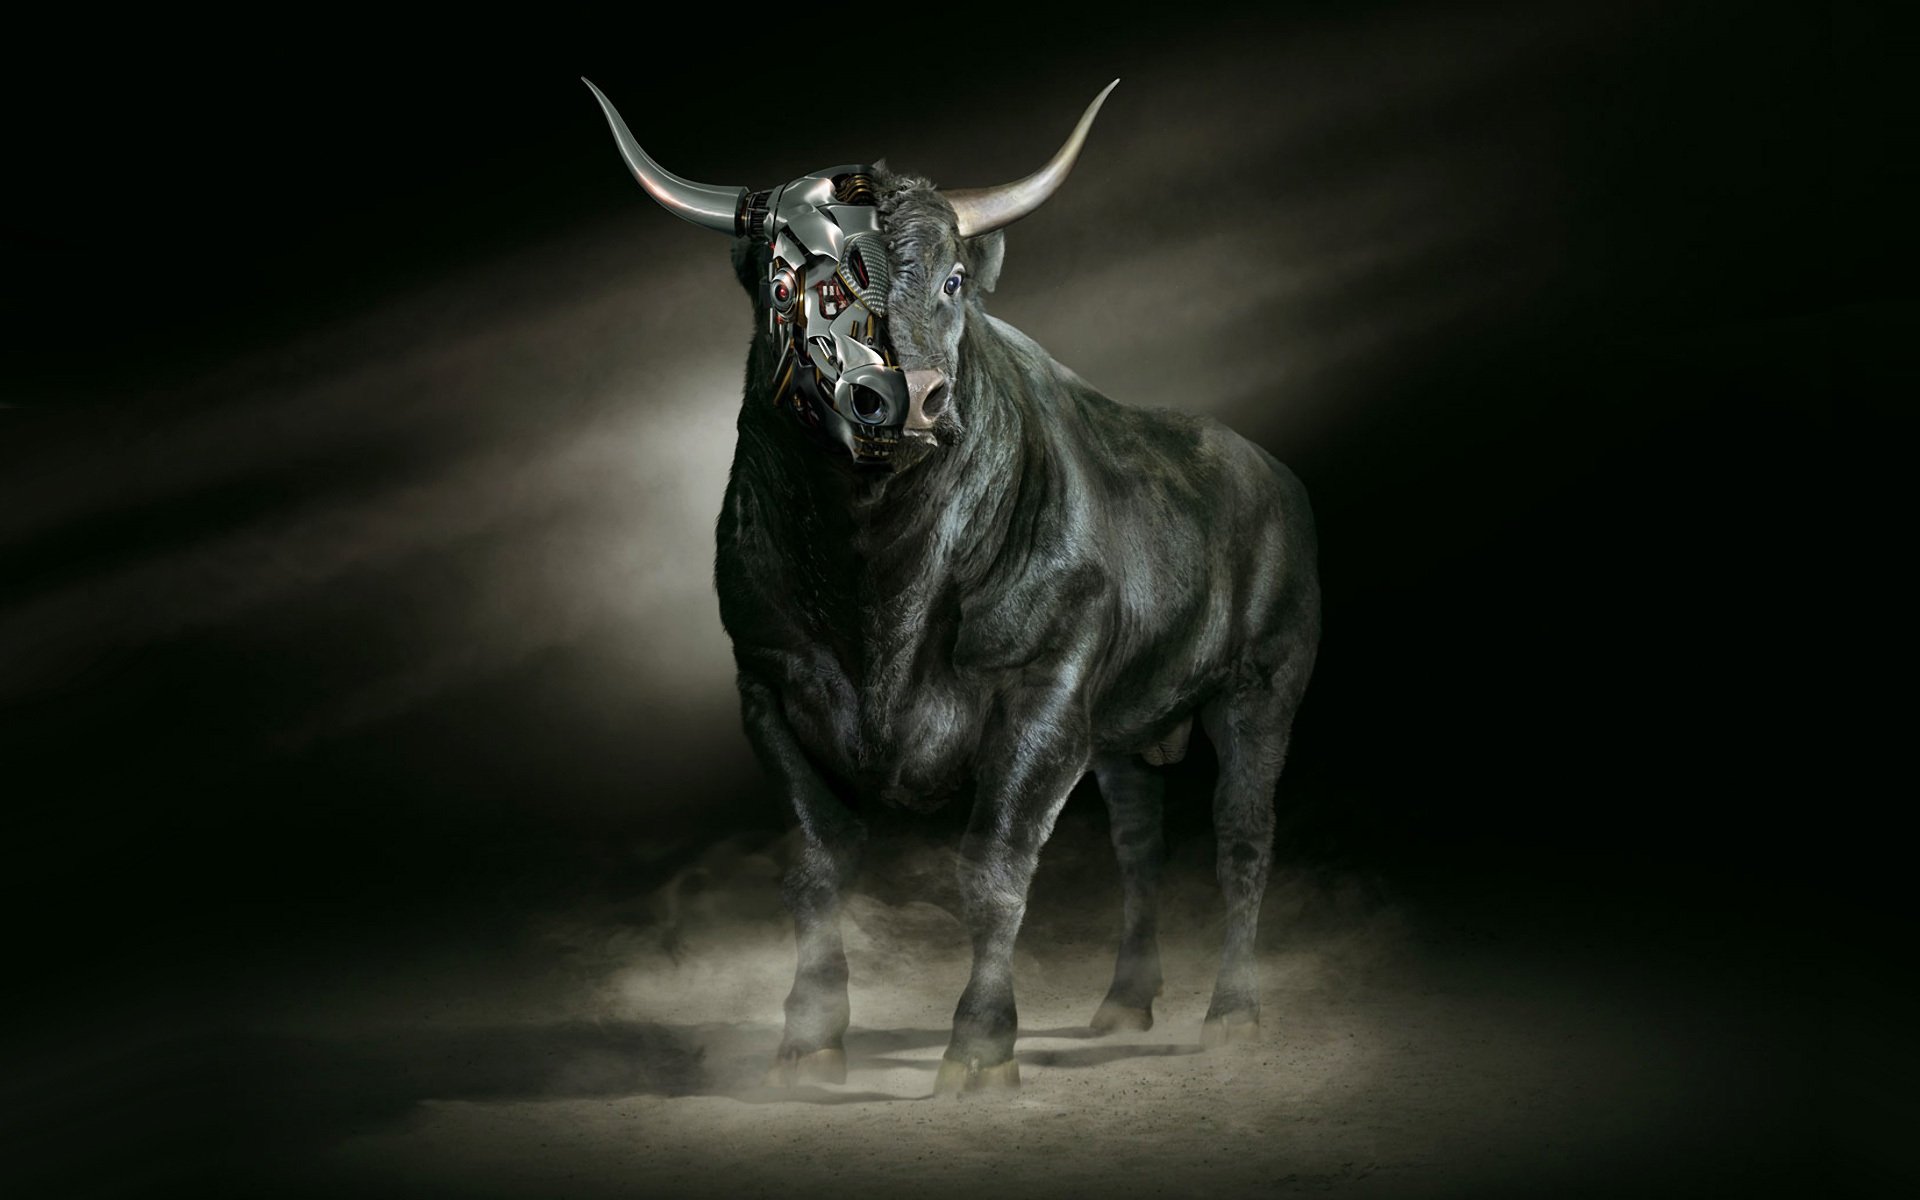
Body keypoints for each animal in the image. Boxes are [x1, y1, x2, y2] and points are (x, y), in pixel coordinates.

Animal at [585, 79, 1320, 1094]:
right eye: (790, 285)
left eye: (954, 282)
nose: (905, 397)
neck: (877, 583)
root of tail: (1272, 473)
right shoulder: (768, 688)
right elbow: (817, 866)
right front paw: (808, 1041)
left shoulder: (1042, 694)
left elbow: (995, 868)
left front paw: (979, 1047)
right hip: (1124, 727)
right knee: (1139, 842)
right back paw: (1124, 1002)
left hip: (1262, 687)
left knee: (1242, 837)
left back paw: (1234, 1014)